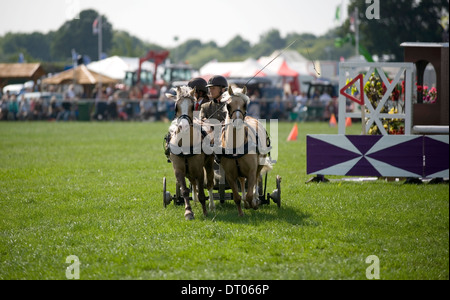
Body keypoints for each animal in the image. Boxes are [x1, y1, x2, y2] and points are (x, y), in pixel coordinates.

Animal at [167, 85, 214, 219]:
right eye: (176, 107)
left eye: (192, 107)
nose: (183, 127)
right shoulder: (178, 170)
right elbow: (184, 191)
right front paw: (188, 212)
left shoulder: (199, 169)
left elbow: (202, 191)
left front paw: (205, 211)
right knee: (192, 182)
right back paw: (195, 200)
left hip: (208, 164)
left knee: (209, 183)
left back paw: (211, 205)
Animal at [221, 84, 272, 216]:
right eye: (228, 105)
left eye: (245, 104)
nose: (238, 122)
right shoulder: (229, 175)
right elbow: (236, 197)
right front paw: (241, 212)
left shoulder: (252, 170)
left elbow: (250, 192)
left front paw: (253, 203)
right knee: (242, 180)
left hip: (260, 163)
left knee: (257, 179)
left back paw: (255, 199)